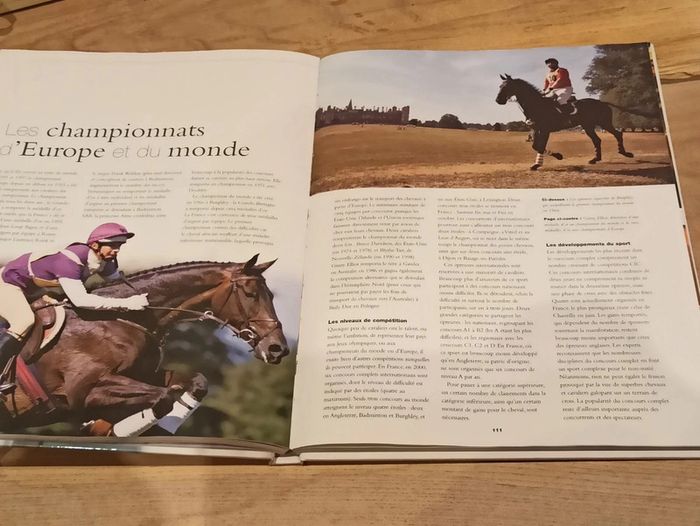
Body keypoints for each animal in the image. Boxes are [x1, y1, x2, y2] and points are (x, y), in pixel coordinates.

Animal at [0, 254, 289, 437]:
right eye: (250, 294)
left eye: (271, 294)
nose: (278, 348)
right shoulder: (83, 390)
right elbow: (163, 398)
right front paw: (106, 428)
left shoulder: (146, 375)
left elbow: (195, 383)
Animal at [495, 74, 636, 170]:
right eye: (500, 86)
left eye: (507, 86)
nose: (498, 100)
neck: (536, 105)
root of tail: (602, 102)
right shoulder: (536, 129)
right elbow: (536, 146)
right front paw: (537, 164)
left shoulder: (544, 130)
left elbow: (539, 146)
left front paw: (558, 156)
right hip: (588, 126)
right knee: (597, 140)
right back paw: (595, 159)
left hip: (604, 123)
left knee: (618, 134)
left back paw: (625, 153)